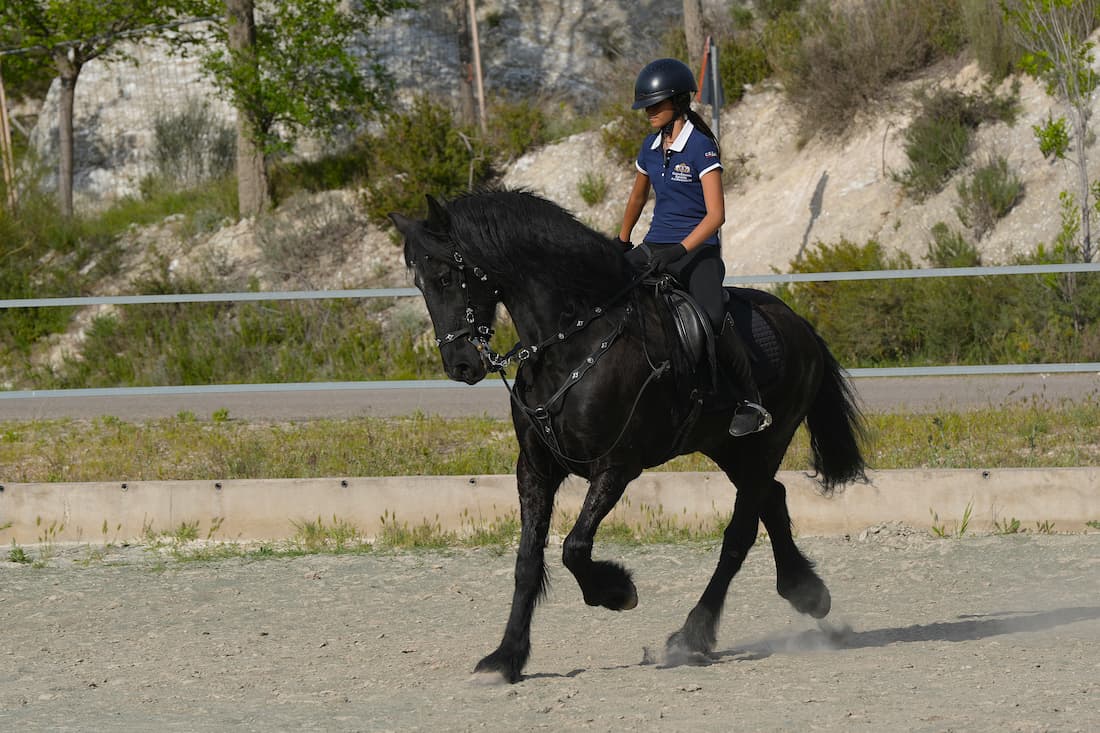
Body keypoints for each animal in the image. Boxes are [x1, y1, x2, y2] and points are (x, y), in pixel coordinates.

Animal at [389, 188, 867, 684]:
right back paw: (806, 592)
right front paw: (506, 657)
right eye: (420, 285)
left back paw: (692, 637)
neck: (571, 342)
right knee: (772, 498)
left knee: (739, 534)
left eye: (446, 277)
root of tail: (799, 324)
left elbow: (575, 548)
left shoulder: (616, 467)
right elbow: (527, 561)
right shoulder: (535, 469)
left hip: (766, 443)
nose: (461, 365)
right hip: (729, 447)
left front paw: (618, 592)